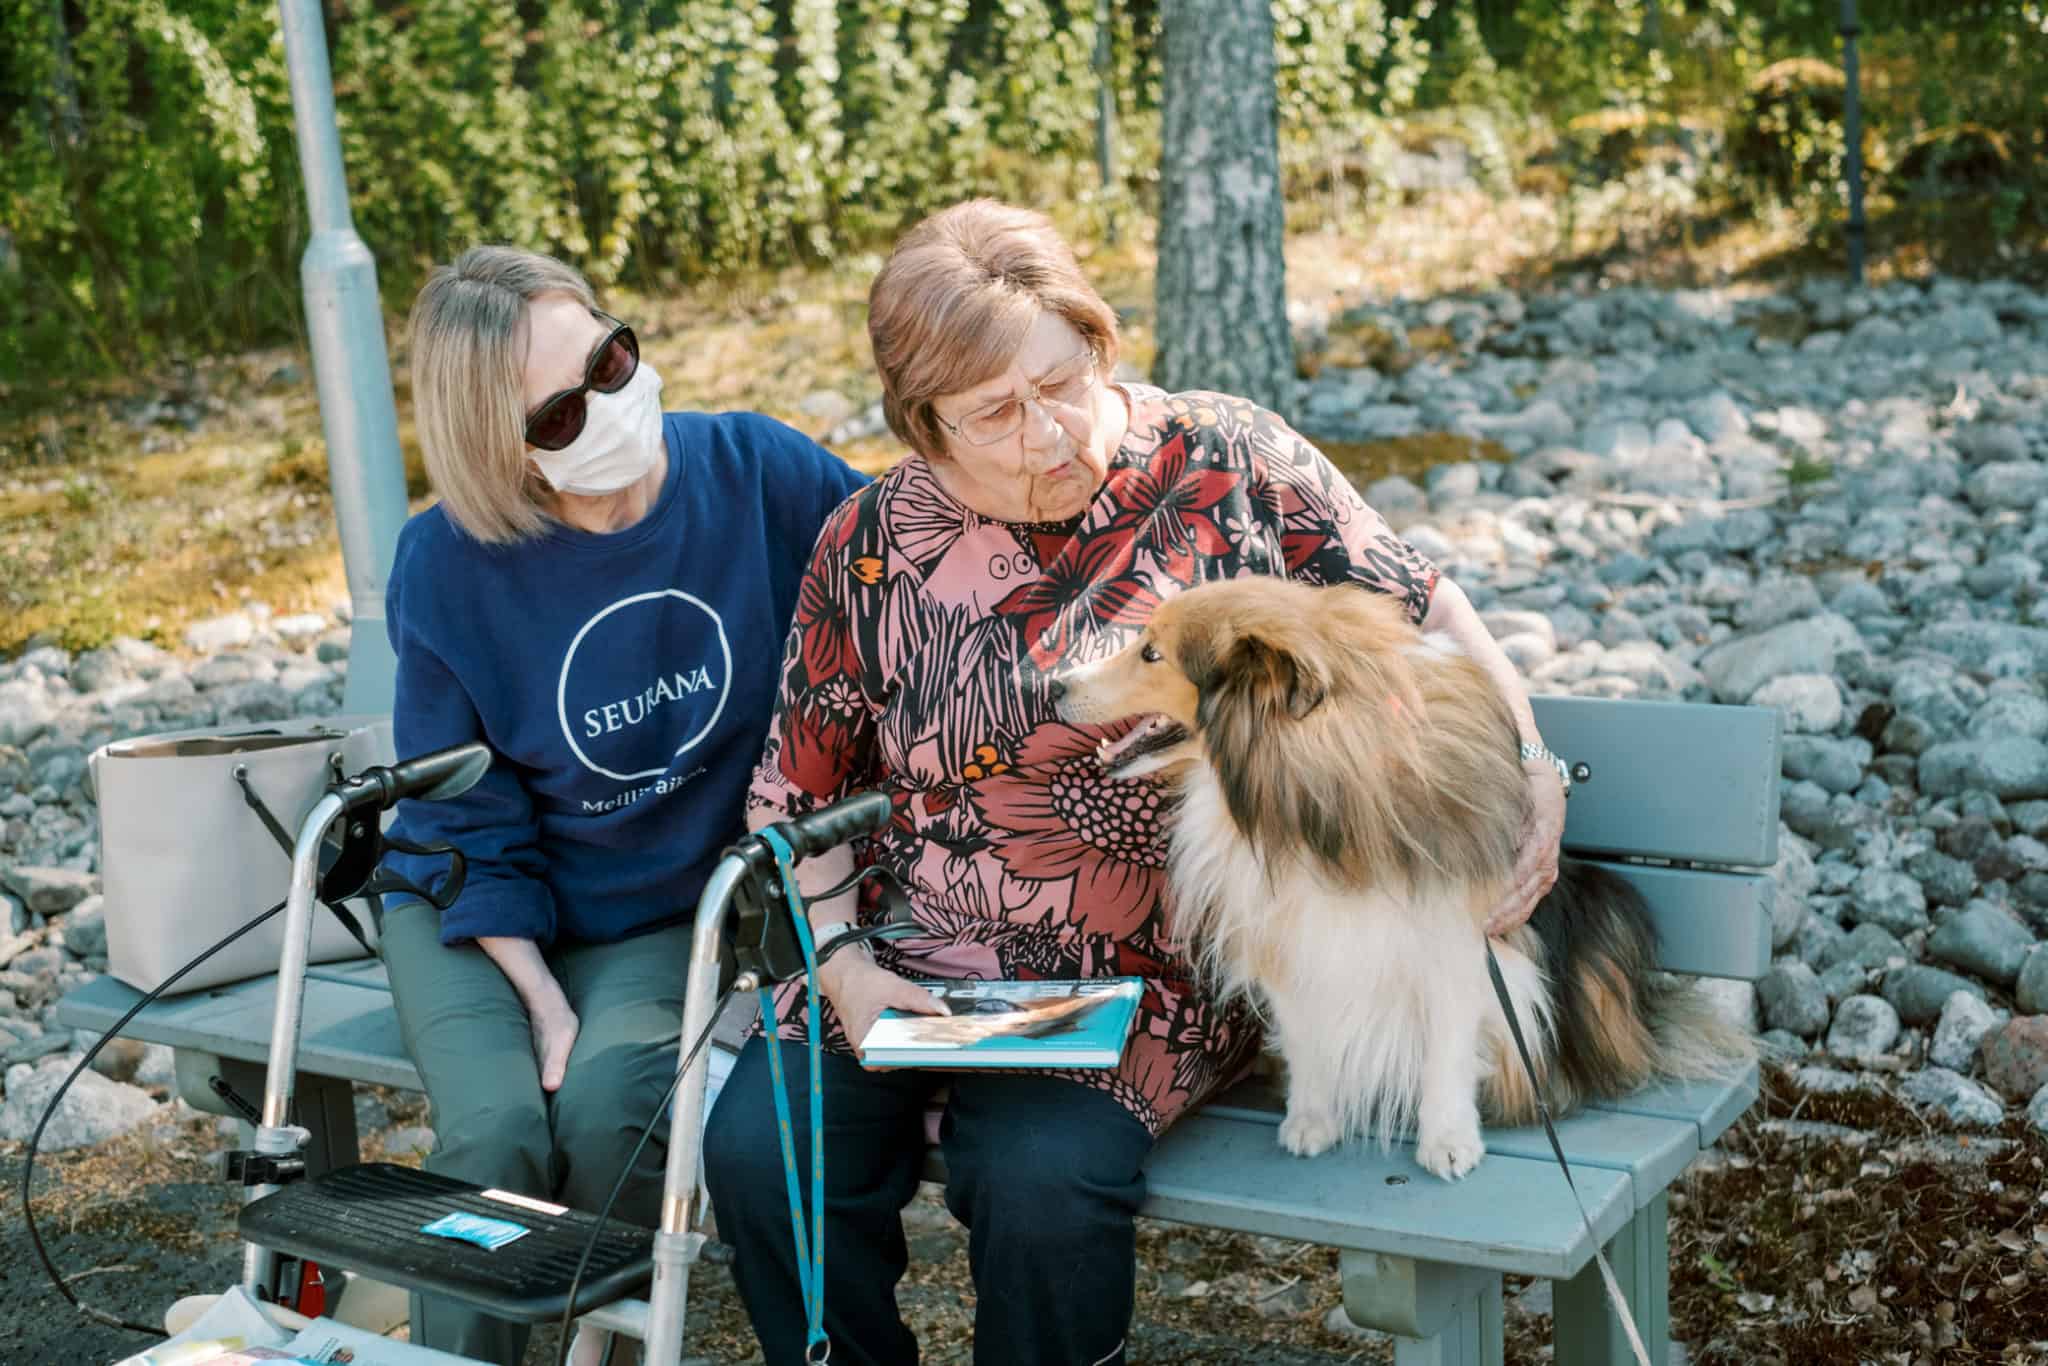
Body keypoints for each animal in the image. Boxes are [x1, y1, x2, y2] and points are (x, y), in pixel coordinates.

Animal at [1056, 577, 1744, 1187]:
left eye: (1152, 653)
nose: (1054, 684)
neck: (1319, 792)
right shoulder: (1292, 935)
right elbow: (1306, 1031)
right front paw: (1312, 1118)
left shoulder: (1457, 939)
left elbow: (1448, 1044)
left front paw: (1449, 1140)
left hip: (1604, 907)